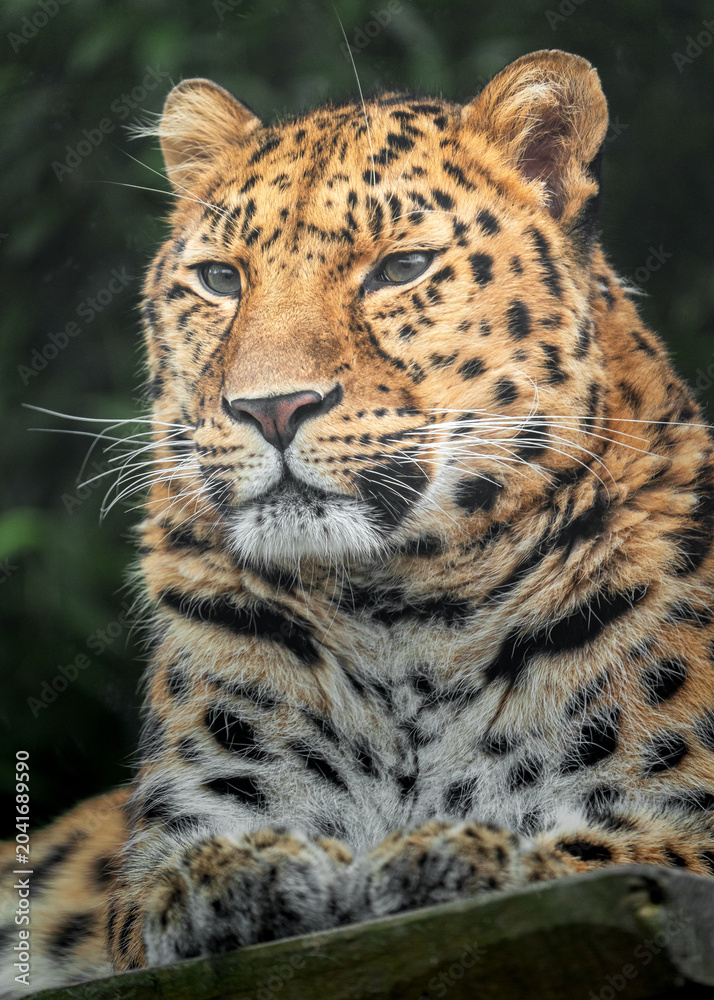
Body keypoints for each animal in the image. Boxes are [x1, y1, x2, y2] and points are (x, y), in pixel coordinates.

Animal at [2, 47, 714, 998]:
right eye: (220, 279)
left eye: (400, 268)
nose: (271, 407)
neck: (404, 609)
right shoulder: (168, 845)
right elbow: (173, 879)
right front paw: (244, 876)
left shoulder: (680, 828)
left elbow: (598, 848)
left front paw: (456, 856)